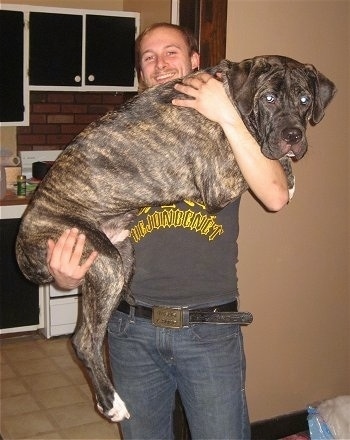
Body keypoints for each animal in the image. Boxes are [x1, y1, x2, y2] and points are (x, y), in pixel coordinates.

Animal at [15, 56, 336, 422]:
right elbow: (265, 152)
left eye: (305, 100)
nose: (293, 136)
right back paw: (112, 403)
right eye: (268, 99)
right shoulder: (219, 183)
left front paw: (290, 172)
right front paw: (288, 175)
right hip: (105, 261)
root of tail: (23, 240)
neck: (233, 99)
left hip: (119, 258)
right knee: (83, 341)